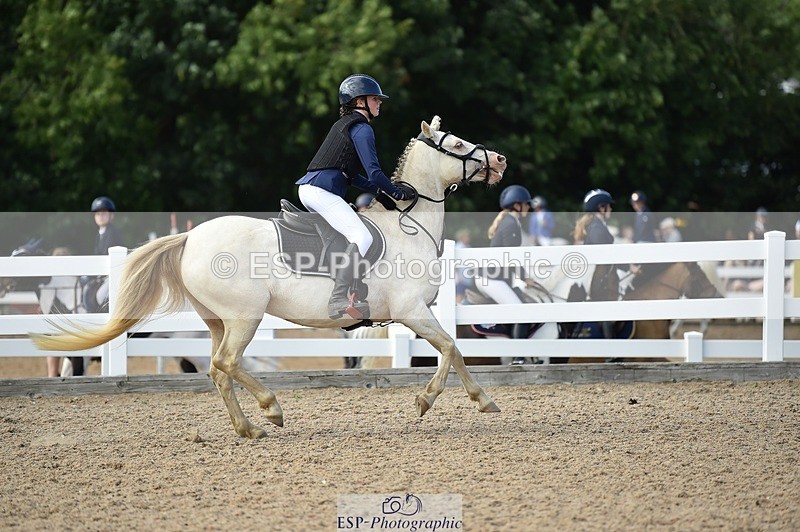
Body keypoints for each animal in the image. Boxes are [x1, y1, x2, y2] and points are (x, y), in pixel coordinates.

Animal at [31, 116, 508, 439]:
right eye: (458, 143)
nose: (501, 160)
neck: (410, 227)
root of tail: (190, 237)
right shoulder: (412, 311)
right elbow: (451, 347)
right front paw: (435, 400)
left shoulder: (418, 312)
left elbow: (453, 350)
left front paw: (474, 400)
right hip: (245, 316)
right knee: (226, 363)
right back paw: (271, 410)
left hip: (217, 320)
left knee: (218, 370)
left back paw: (249, 428)